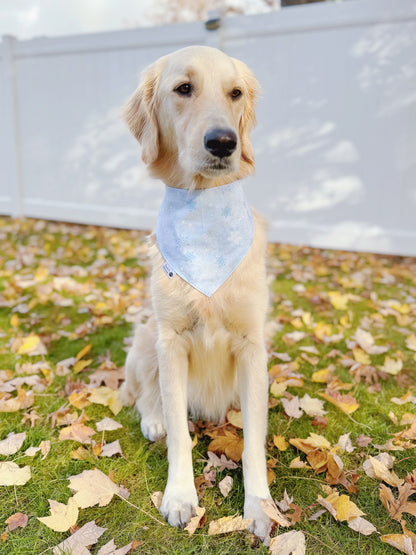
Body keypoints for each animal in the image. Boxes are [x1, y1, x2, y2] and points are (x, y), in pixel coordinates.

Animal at [119, 45, 272, 540]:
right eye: (183, 88)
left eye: (235, 93)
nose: (224, 142)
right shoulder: (171, 341)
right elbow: (179, 433)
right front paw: (181, 496)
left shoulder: (252, 345)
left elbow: (254, 441)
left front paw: (260, 506)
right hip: (145, 337)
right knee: (147, 396)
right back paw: (152, 420)